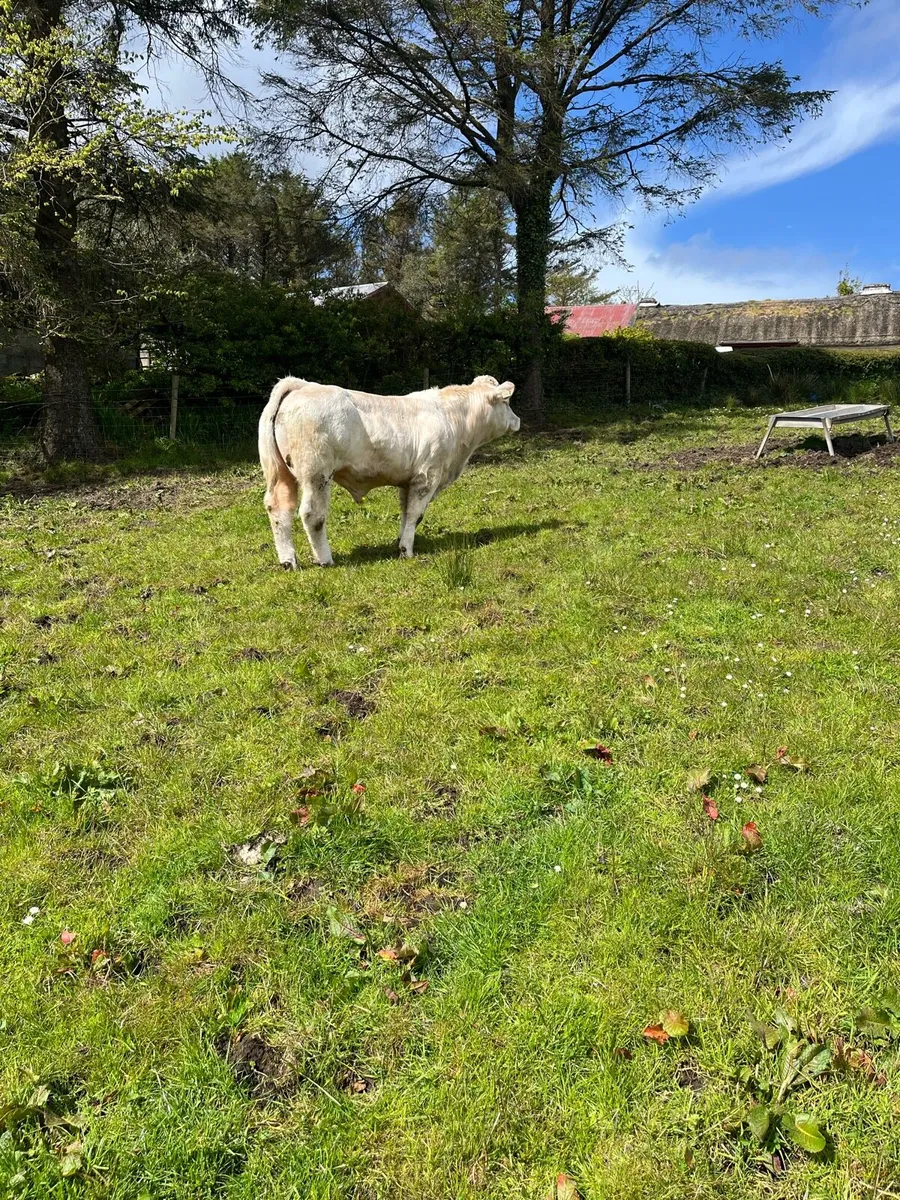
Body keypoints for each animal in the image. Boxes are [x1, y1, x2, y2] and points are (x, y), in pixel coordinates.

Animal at [258, 375, 520, 567]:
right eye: (507, 402)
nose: (517, 420)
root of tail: (303, 386)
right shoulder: (428, 476)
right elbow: (416, 514)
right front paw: (407, 550)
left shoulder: (409, 480)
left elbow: (405, 513)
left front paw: (401, 541)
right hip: (316, 474)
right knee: (312, 514)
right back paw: (325, 559)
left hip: (281, 474)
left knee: (278, 509)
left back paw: (289, 561)